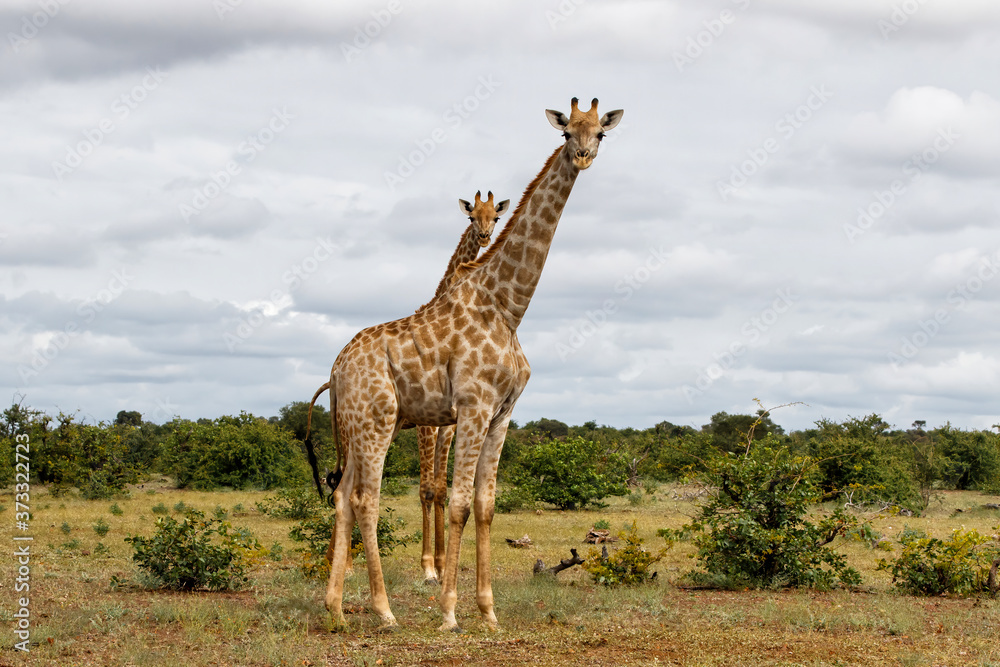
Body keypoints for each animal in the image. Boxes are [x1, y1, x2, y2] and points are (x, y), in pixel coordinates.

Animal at [304, 191, 510, 583]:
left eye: (496, 216)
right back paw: (341, 564)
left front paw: (442, 564)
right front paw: (428, 566)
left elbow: (442, 489)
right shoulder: (427, 426)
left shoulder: (450, 423)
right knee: (341, 481)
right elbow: (426, 489)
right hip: (351, 427)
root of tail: (332, 378)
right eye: (471, 216)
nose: (484, 236)